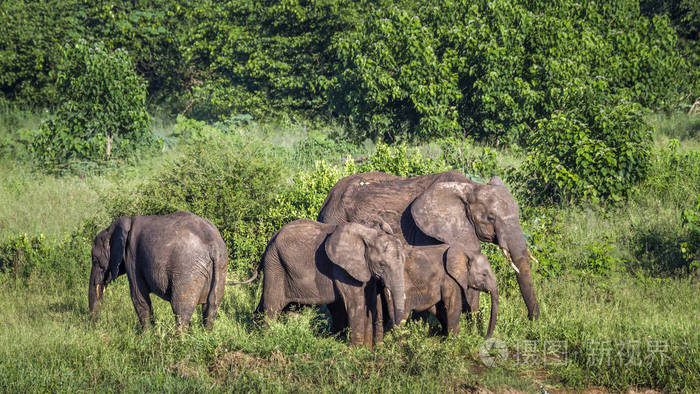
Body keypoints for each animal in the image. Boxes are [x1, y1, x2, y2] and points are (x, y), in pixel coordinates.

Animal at [88, 212, 227, 330]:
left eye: (95, 260)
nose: (94, 327)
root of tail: (214, 245)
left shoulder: (132, 257)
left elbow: (138, 296)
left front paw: (147, 336)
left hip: (188, 270)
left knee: (180, 309)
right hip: (220, 266)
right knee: (211, 307)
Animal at [250, 220, 404, 346]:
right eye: (382, 265)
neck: (368, 233)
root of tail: (270, 241)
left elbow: (370, 302)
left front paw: (366, 351)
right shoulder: (342, 269)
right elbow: (357, 303)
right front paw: (355, 351)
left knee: (290, 308)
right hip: (275, 265)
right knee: (272, 305)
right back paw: (267, 338)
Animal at [318, 169, 540, 320]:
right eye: (491, 218)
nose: (532, 319)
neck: (469, 187)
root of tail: (328, 197)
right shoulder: (426, 231)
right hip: (334, 220)